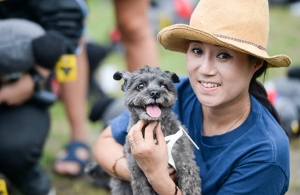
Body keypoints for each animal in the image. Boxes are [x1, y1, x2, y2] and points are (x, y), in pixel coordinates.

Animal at [110, 66, 202, 195]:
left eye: (164, 85)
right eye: (140, 86)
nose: (155, 93)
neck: (153, 130)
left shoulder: (185, 162)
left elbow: (190, 184)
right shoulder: (137, 172)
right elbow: (141, 190)